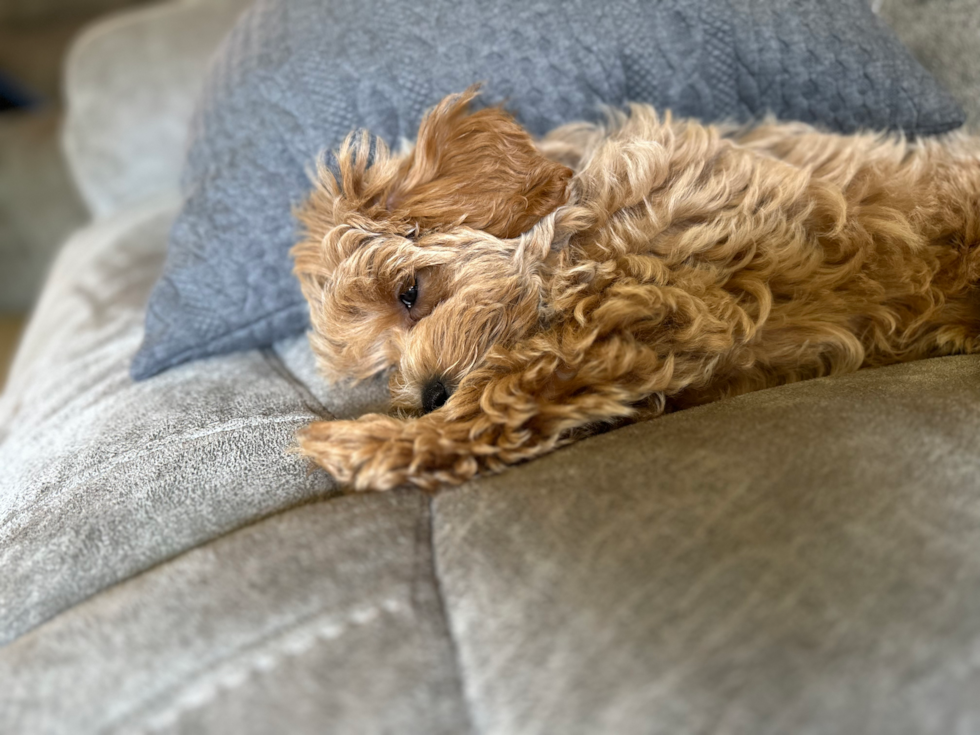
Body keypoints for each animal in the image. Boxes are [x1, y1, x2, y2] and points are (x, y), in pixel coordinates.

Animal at [290, 89, 980, 492]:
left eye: (408, 291)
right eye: (382, 368)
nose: (430, 395)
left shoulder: (662, 293)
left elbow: (505, 388)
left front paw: (371, 443)